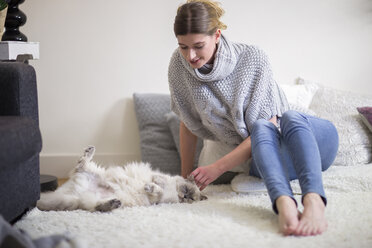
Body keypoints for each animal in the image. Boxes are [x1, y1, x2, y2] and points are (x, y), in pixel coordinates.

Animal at [37, 146, 208, 212]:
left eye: (191, 198)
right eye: (186, 190)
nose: (184, 197)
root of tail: (74, 194)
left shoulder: (158, 201)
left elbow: (157, 190)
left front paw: (150, 187)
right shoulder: (160, 183)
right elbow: (158, 182)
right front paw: (153, 184)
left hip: (93, 199)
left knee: (97, 207)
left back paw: (112, 203)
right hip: (93, 172)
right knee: (81, 164)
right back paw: (90, 150)